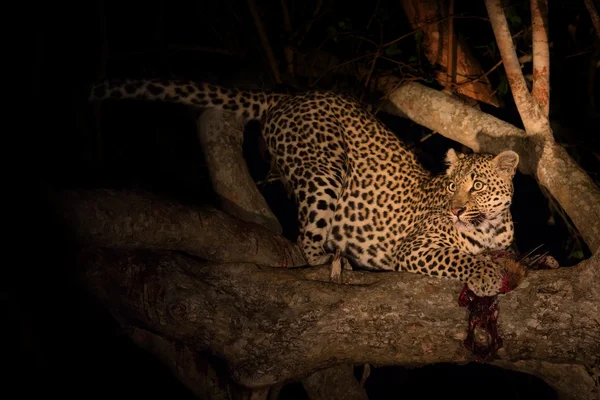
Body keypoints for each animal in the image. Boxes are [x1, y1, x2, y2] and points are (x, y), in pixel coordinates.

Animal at [88, 79, 520, 296]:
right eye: (451, 188)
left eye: (476, 187)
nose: (455, 210)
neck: (489, 225)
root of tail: (291, 96)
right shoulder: (414, 247)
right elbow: (459, 258)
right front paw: (483, 274)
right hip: (324, 171)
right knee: (305, 242)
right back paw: (334, 262)